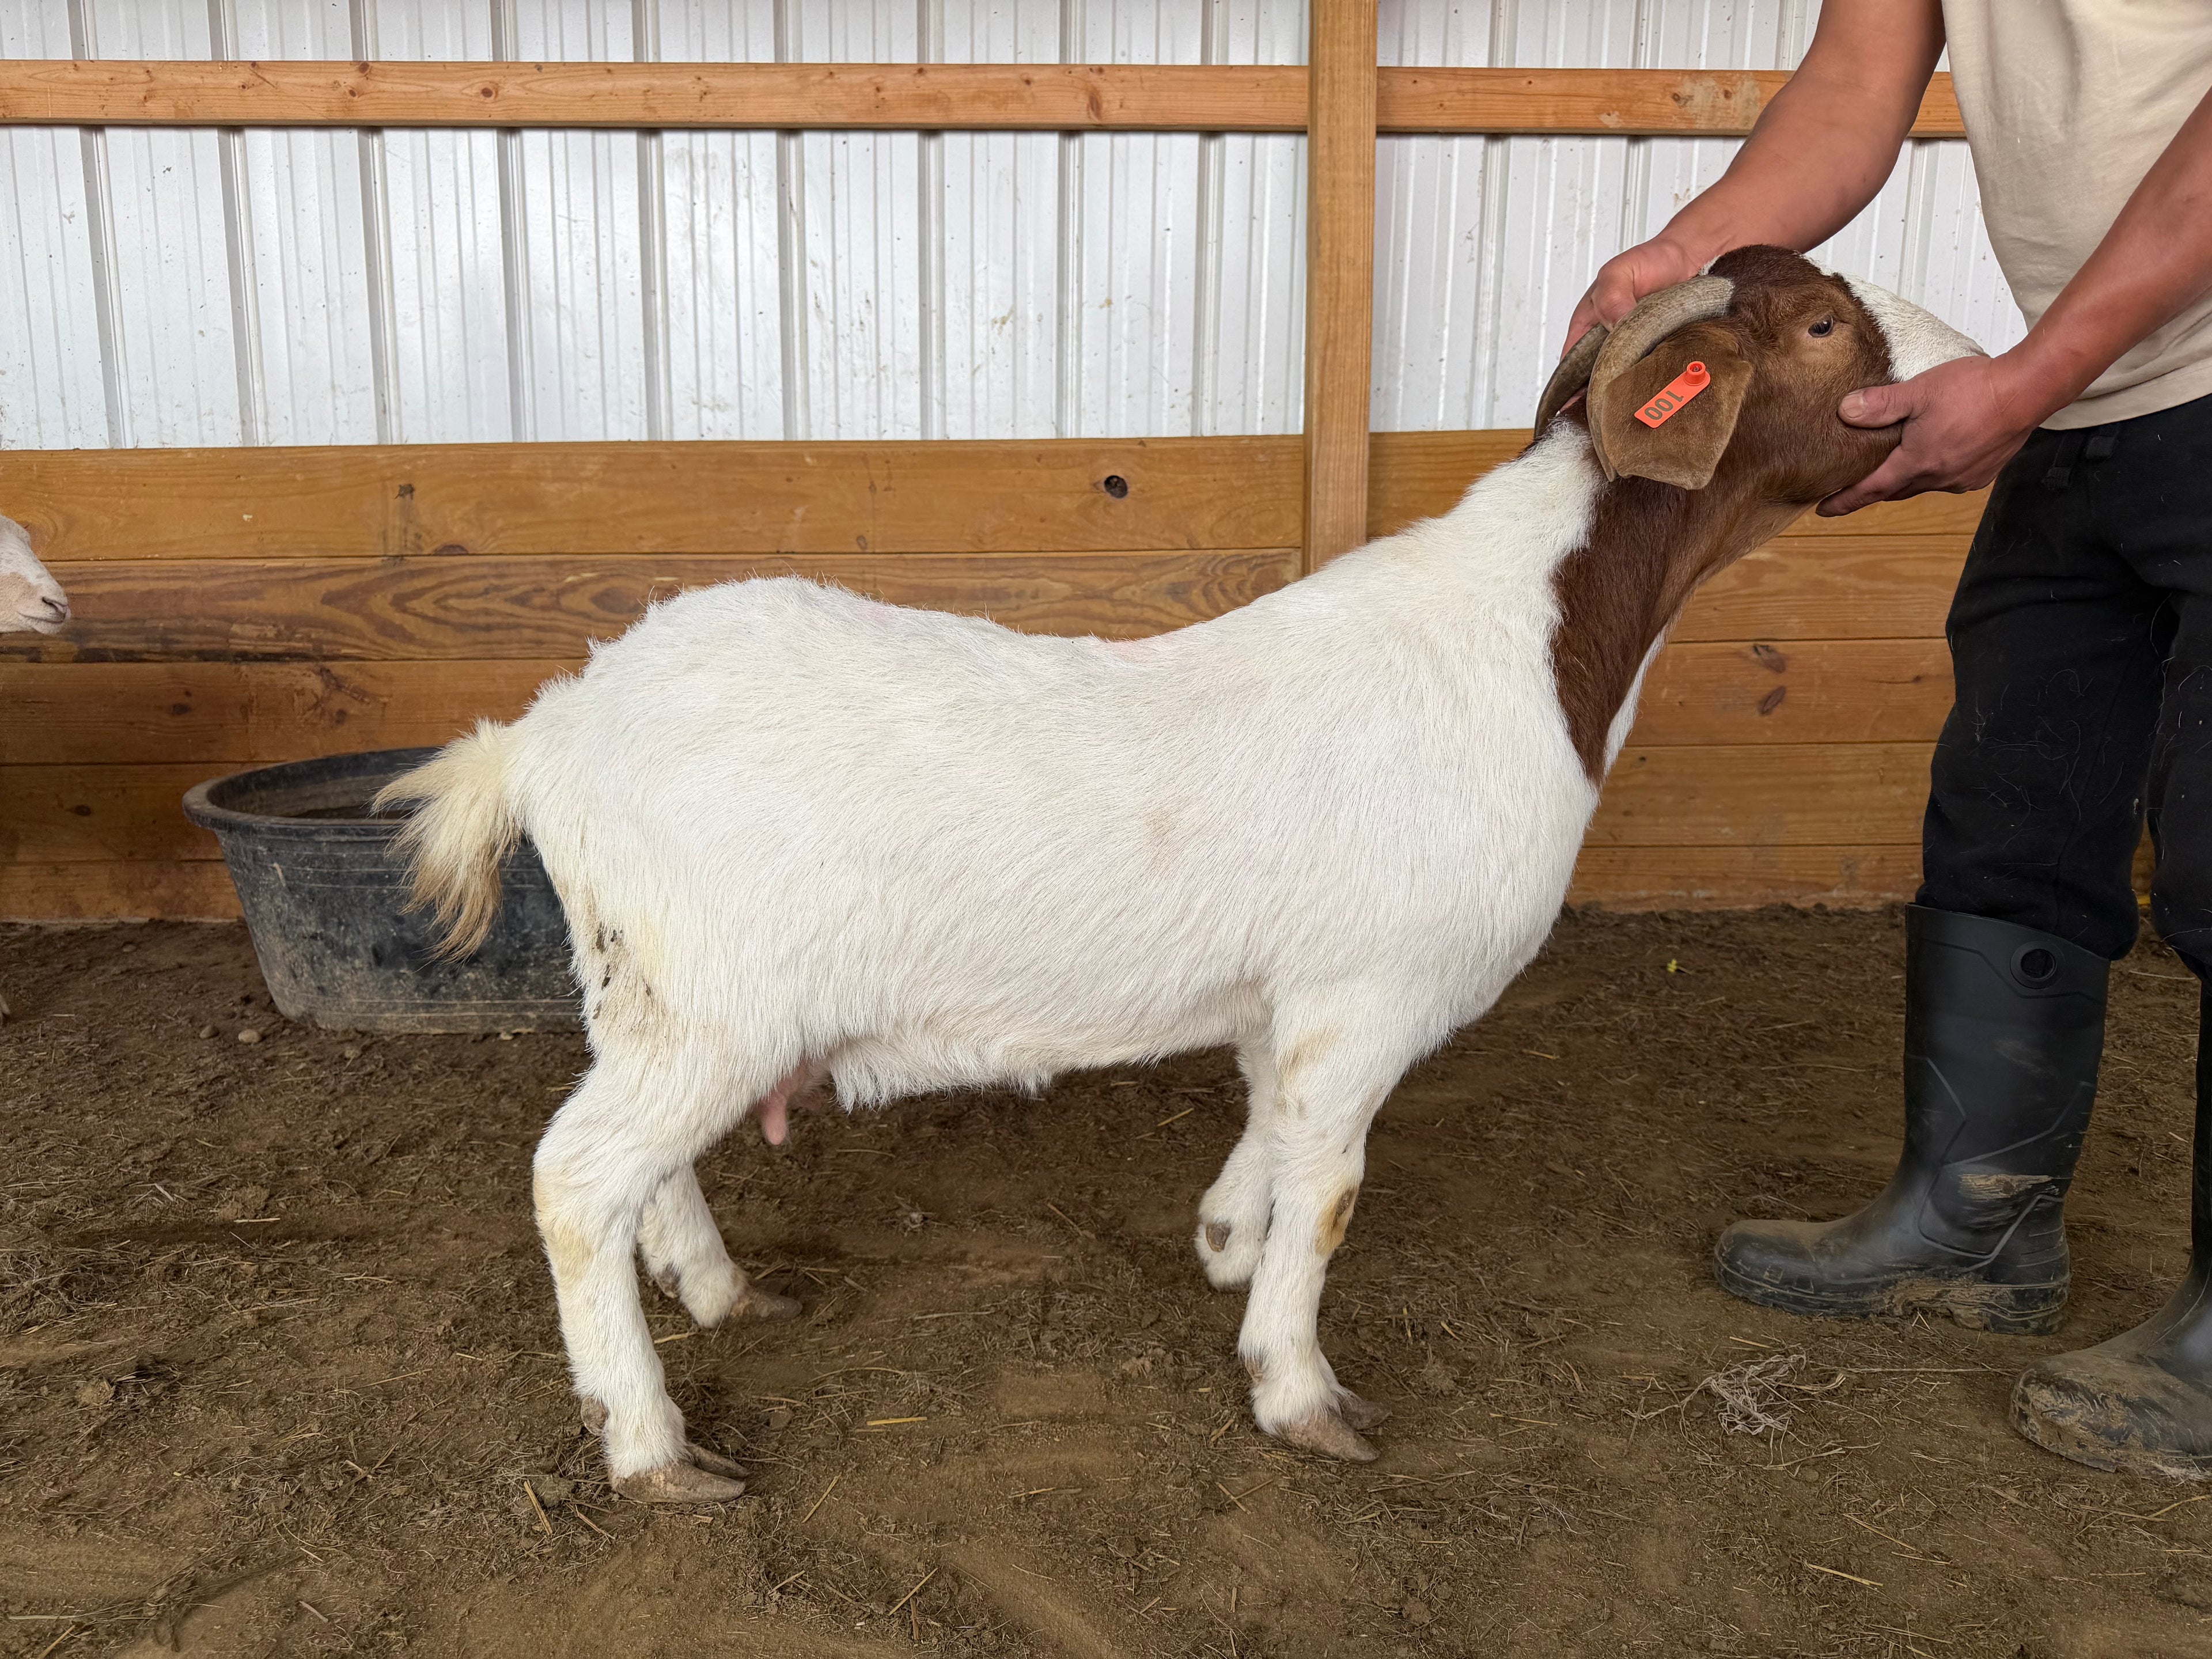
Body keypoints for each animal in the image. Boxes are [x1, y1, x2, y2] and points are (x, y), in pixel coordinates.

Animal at [379, 246, 1981, 1502]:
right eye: (1823, 327)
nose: (1962, 380)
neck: (1530, 646)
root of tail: (549, 729)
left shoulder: (1292, 994)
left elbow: (1272, 1124)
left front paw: (1223, 1240)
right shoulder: (1367, 993)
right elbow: (1332, 1185)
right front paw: (1300, 1389)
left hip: (640, 983)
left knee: (637, 1168)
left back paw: (720, 1290)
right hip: (714, 995)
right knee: (577, 1177)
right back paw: (652, 1446)